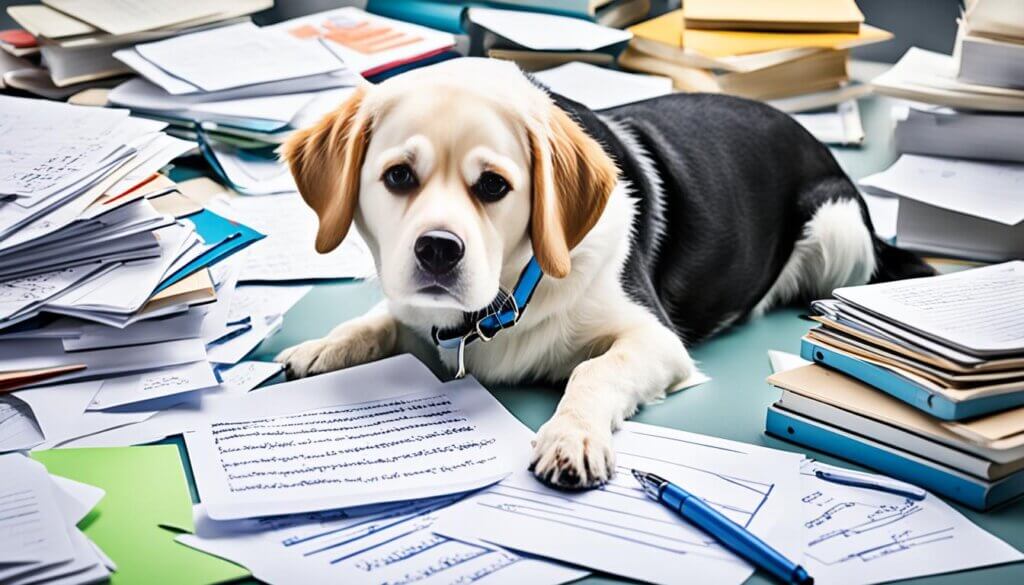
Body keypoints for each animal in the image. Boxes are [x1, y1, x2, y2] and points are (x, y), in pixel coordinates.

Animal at [276, 58, 933, 489]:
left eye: (493, 186)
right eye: (398, 177)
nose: (438, 250)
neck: (503, 300)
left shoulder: (655, 338)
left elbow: (593, 371)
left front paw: (572, 437)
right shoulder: (415, 306)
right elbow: (380, 317)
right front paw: (326, 346)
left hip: (835, 229)